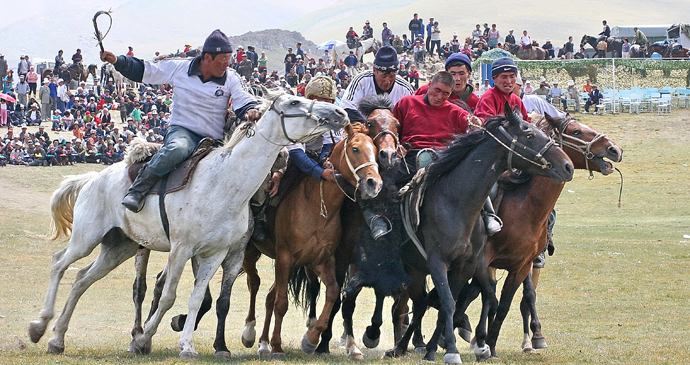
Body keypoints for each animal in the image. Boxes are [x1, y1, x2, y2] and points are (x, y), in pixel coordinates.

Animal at [28, 92, 350, 356]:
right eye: (294, 102)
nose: (340, 112)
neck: (224, 184)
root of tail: (93, 178)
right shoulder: (181, 250)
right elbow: (169, 296)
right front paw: (144, 339)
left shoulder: (215, 254)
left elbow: (198, 299)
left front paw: (188, 345)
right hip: (87, 238)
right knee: (59, 264)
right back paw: (39, 325)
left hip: (119, 247)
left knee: (82, 278)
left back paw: (57, 339)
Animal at [382, 104, 568, 362]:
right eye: (528, 134)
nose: (568, 166)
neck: (455, 202)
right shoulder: (439, 262)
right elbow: (450, 303)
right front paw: (453, 349)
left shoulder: (469, 265)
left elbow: (455, 302)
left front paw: (437, 347)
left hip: (415, 268)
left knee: (417, 303)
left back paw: (403, 346)